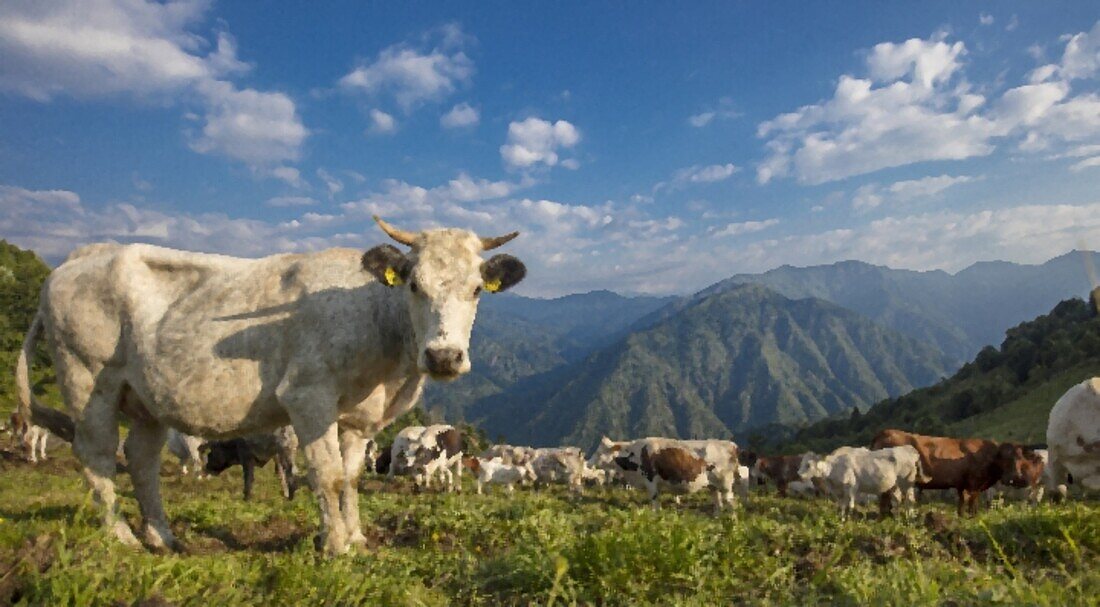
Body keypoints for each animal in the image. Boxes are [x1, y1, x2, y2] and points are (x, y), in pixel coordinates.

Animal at [13, 217, 528, 554]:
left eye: (476, 289)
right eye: (414, 285)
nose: (443, 356)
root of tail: (81, 256)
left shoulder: (358, 418)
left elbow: (351, 477)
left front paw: (356, 536)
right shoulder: (307, 397)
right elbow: (327, 474)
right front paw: (335, 546)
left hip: (146, 400)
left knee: (140, 459)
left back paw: (163, 536)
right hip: (88, 381)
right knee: (98, 456)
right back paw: (122, 536)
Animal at [871, 426, 1042, 516]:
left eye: (1022, 459)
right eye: (1006, 459)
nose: (1017, 478)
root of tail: (885, 432)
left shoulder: (963, 485)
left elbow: (962, 503)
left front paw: (962, 516)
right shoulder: (973, 484)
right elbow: (971, 502)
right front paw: (971, 517)